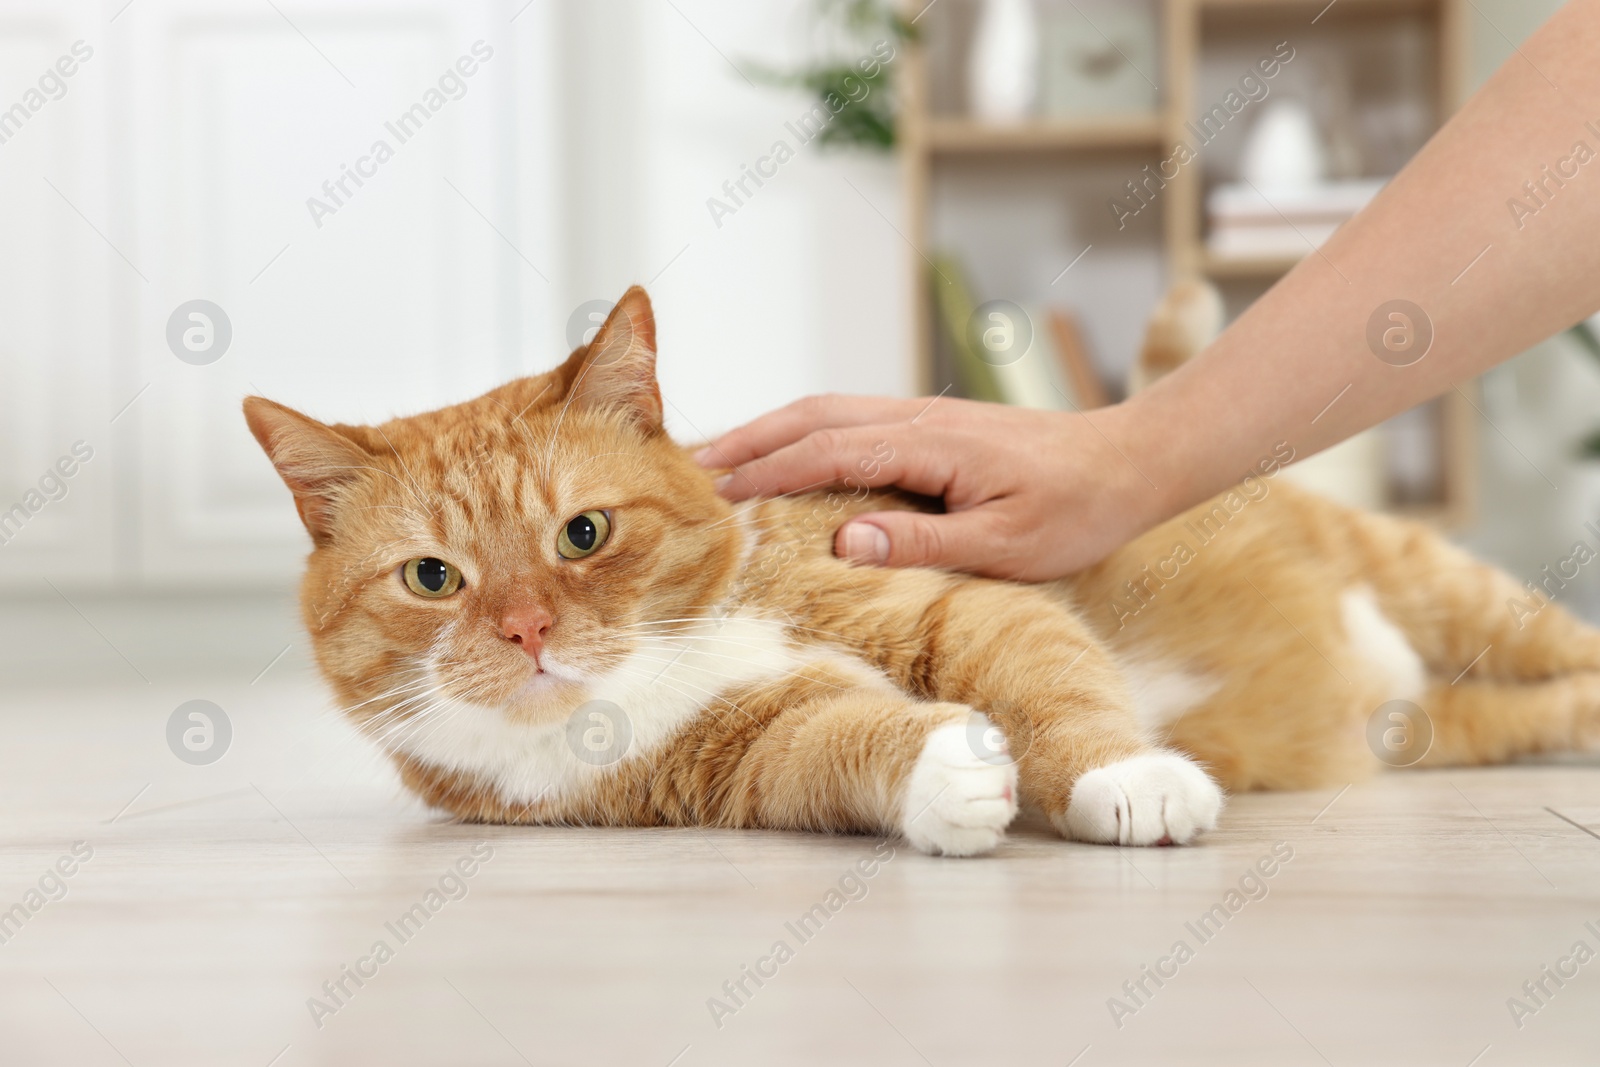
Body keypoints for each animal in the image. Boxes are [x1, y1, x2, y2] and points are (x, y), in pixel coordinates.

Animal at [243, 287, 1600, 857]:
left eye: (583, 533)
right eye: (432, 577)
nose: (527, 630)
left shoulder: (941, 592)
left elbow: (1050, 683)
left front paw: (1121, 779)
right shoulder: (734, 755)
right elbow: (834, 745)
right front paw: (946, 775)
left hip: (1438, 581)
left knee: (1561, 644)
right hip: (1441, 722)